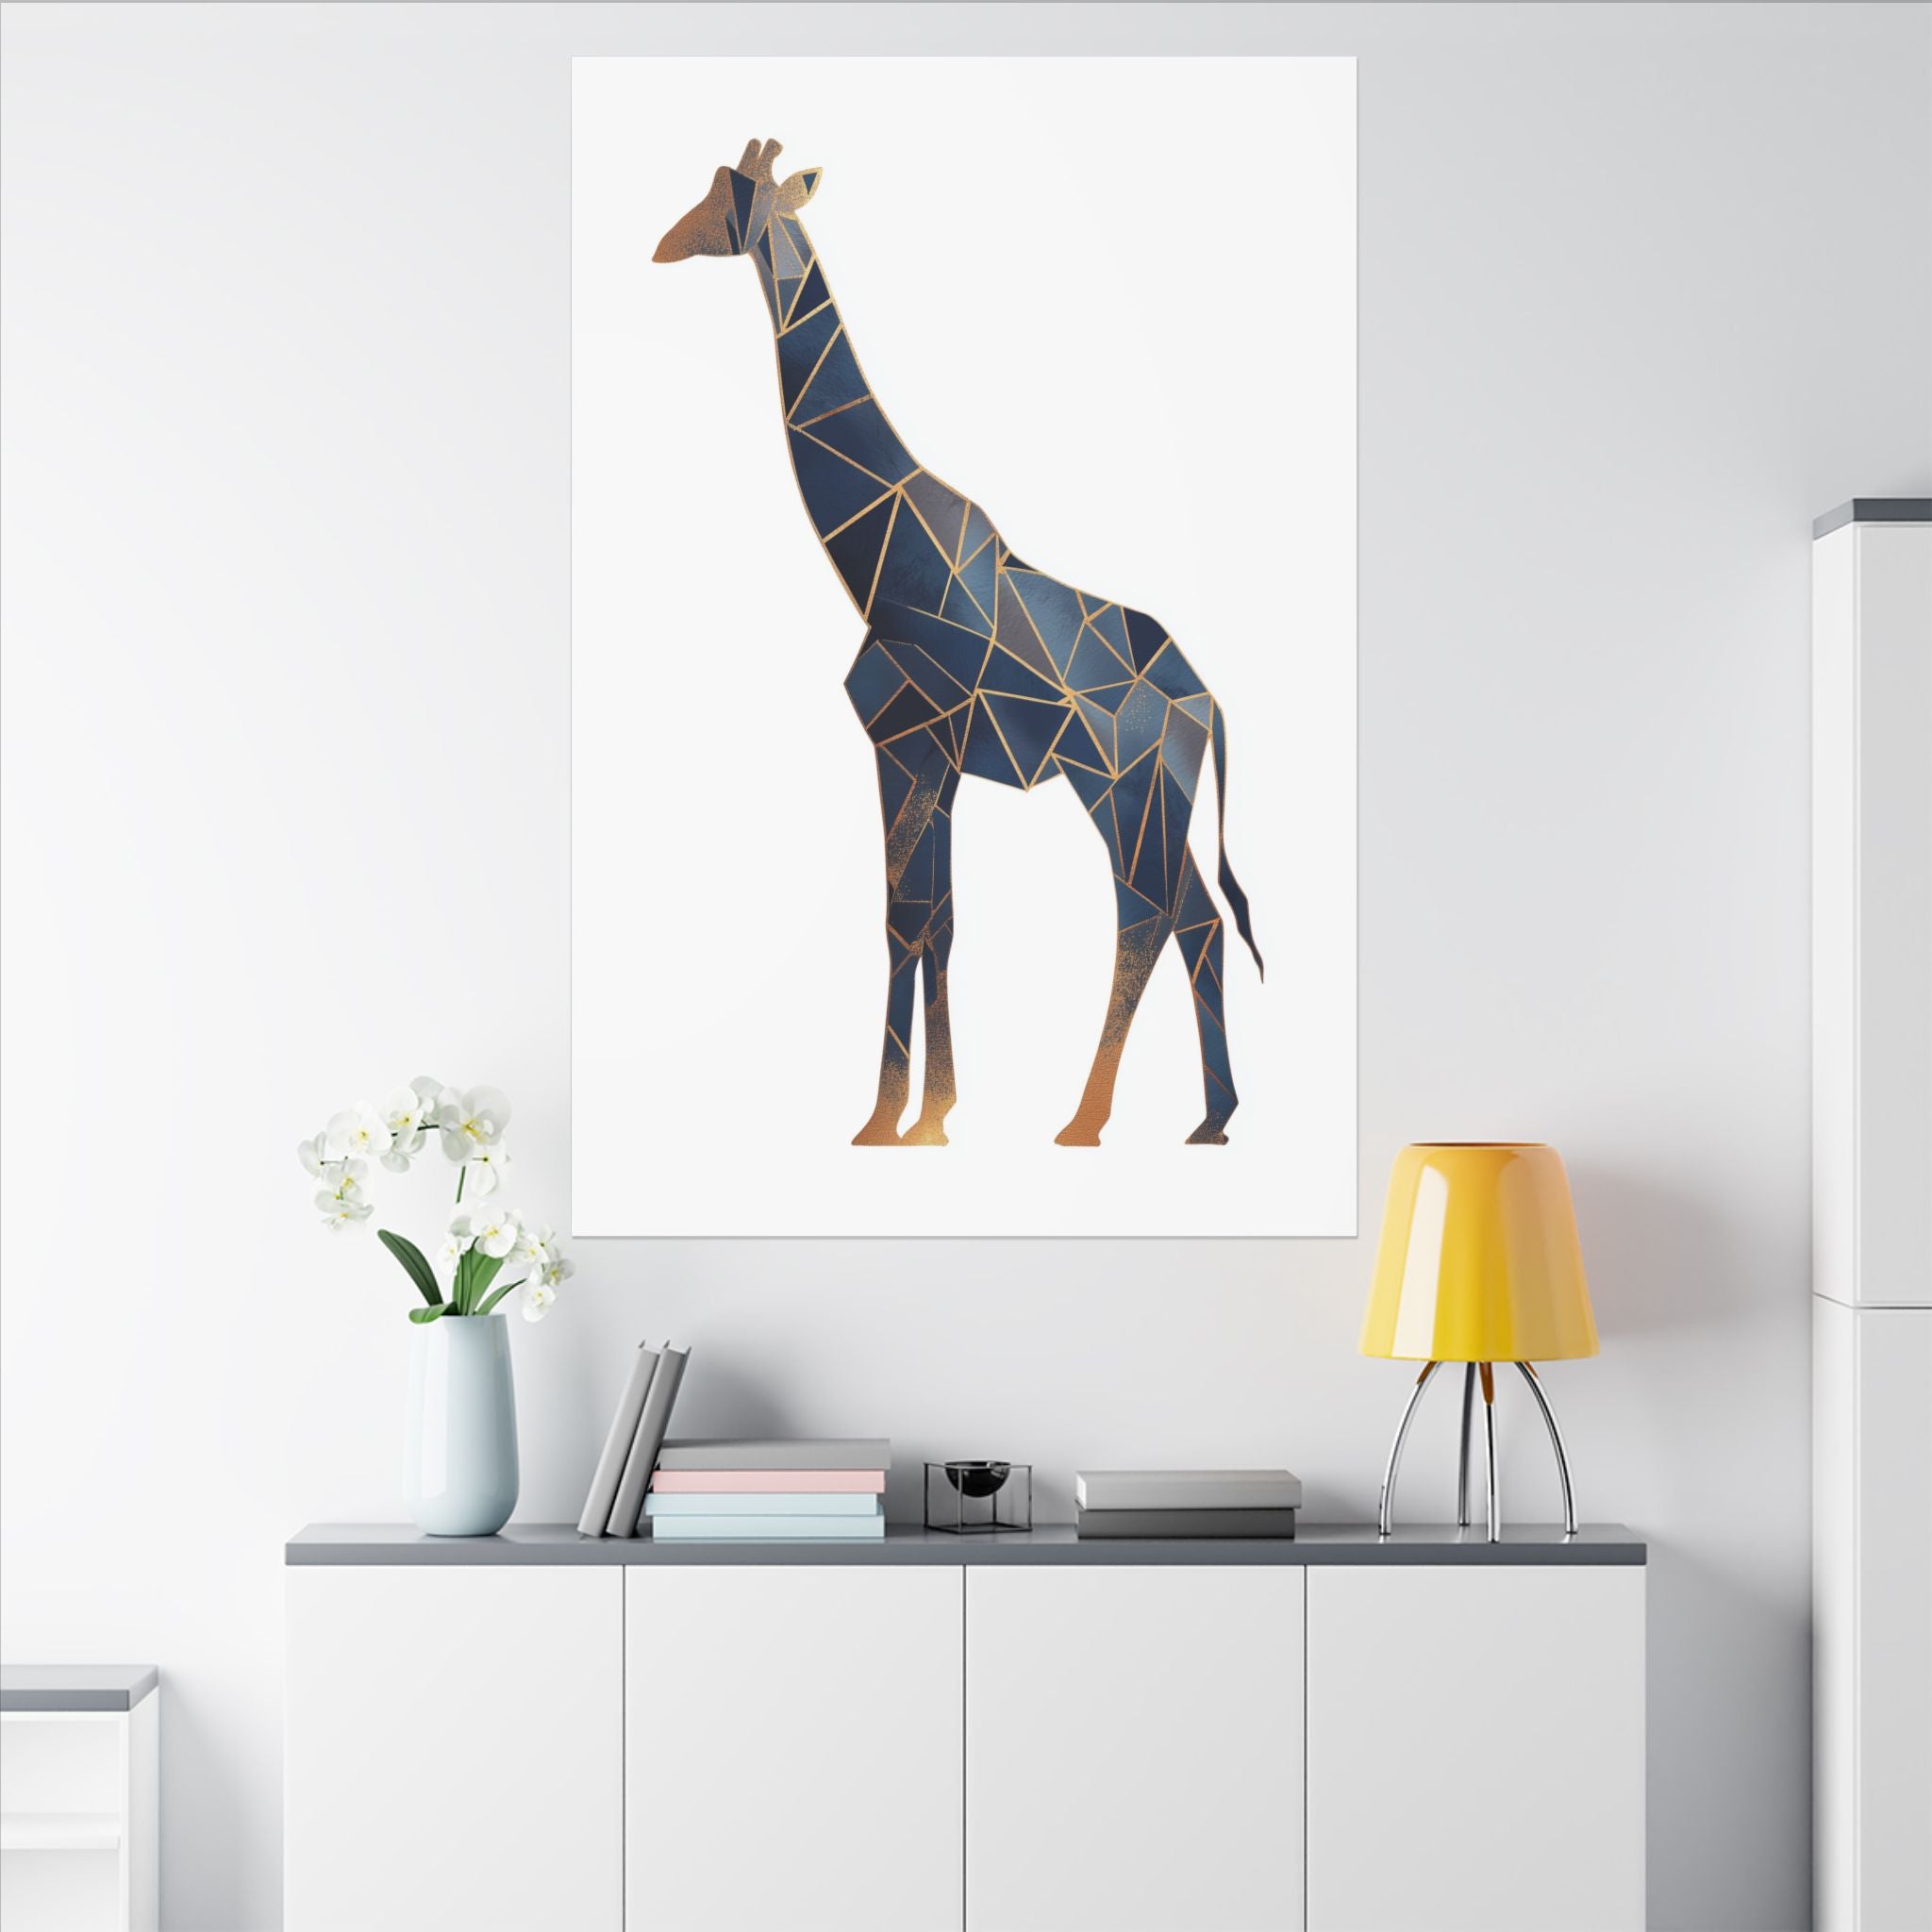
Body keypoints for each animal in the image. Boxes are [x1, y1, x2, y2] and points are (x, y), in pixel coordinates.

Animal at [654, 139, 1264, 1148]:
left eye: (732, 198)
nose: (665, 244)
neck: (879, 561)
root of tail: (1207, 702)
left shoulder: (906, 744)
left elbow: (907, 920)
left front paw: (894, 1120)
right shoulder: (930, 759)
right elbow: (932, 920)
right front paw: (922, 1117)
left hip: (1121, 787)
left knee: (1146, 915)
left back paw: (1086, 1121)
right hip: (1153, 796)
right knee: (1198, 920)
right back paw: (1210, 1120)